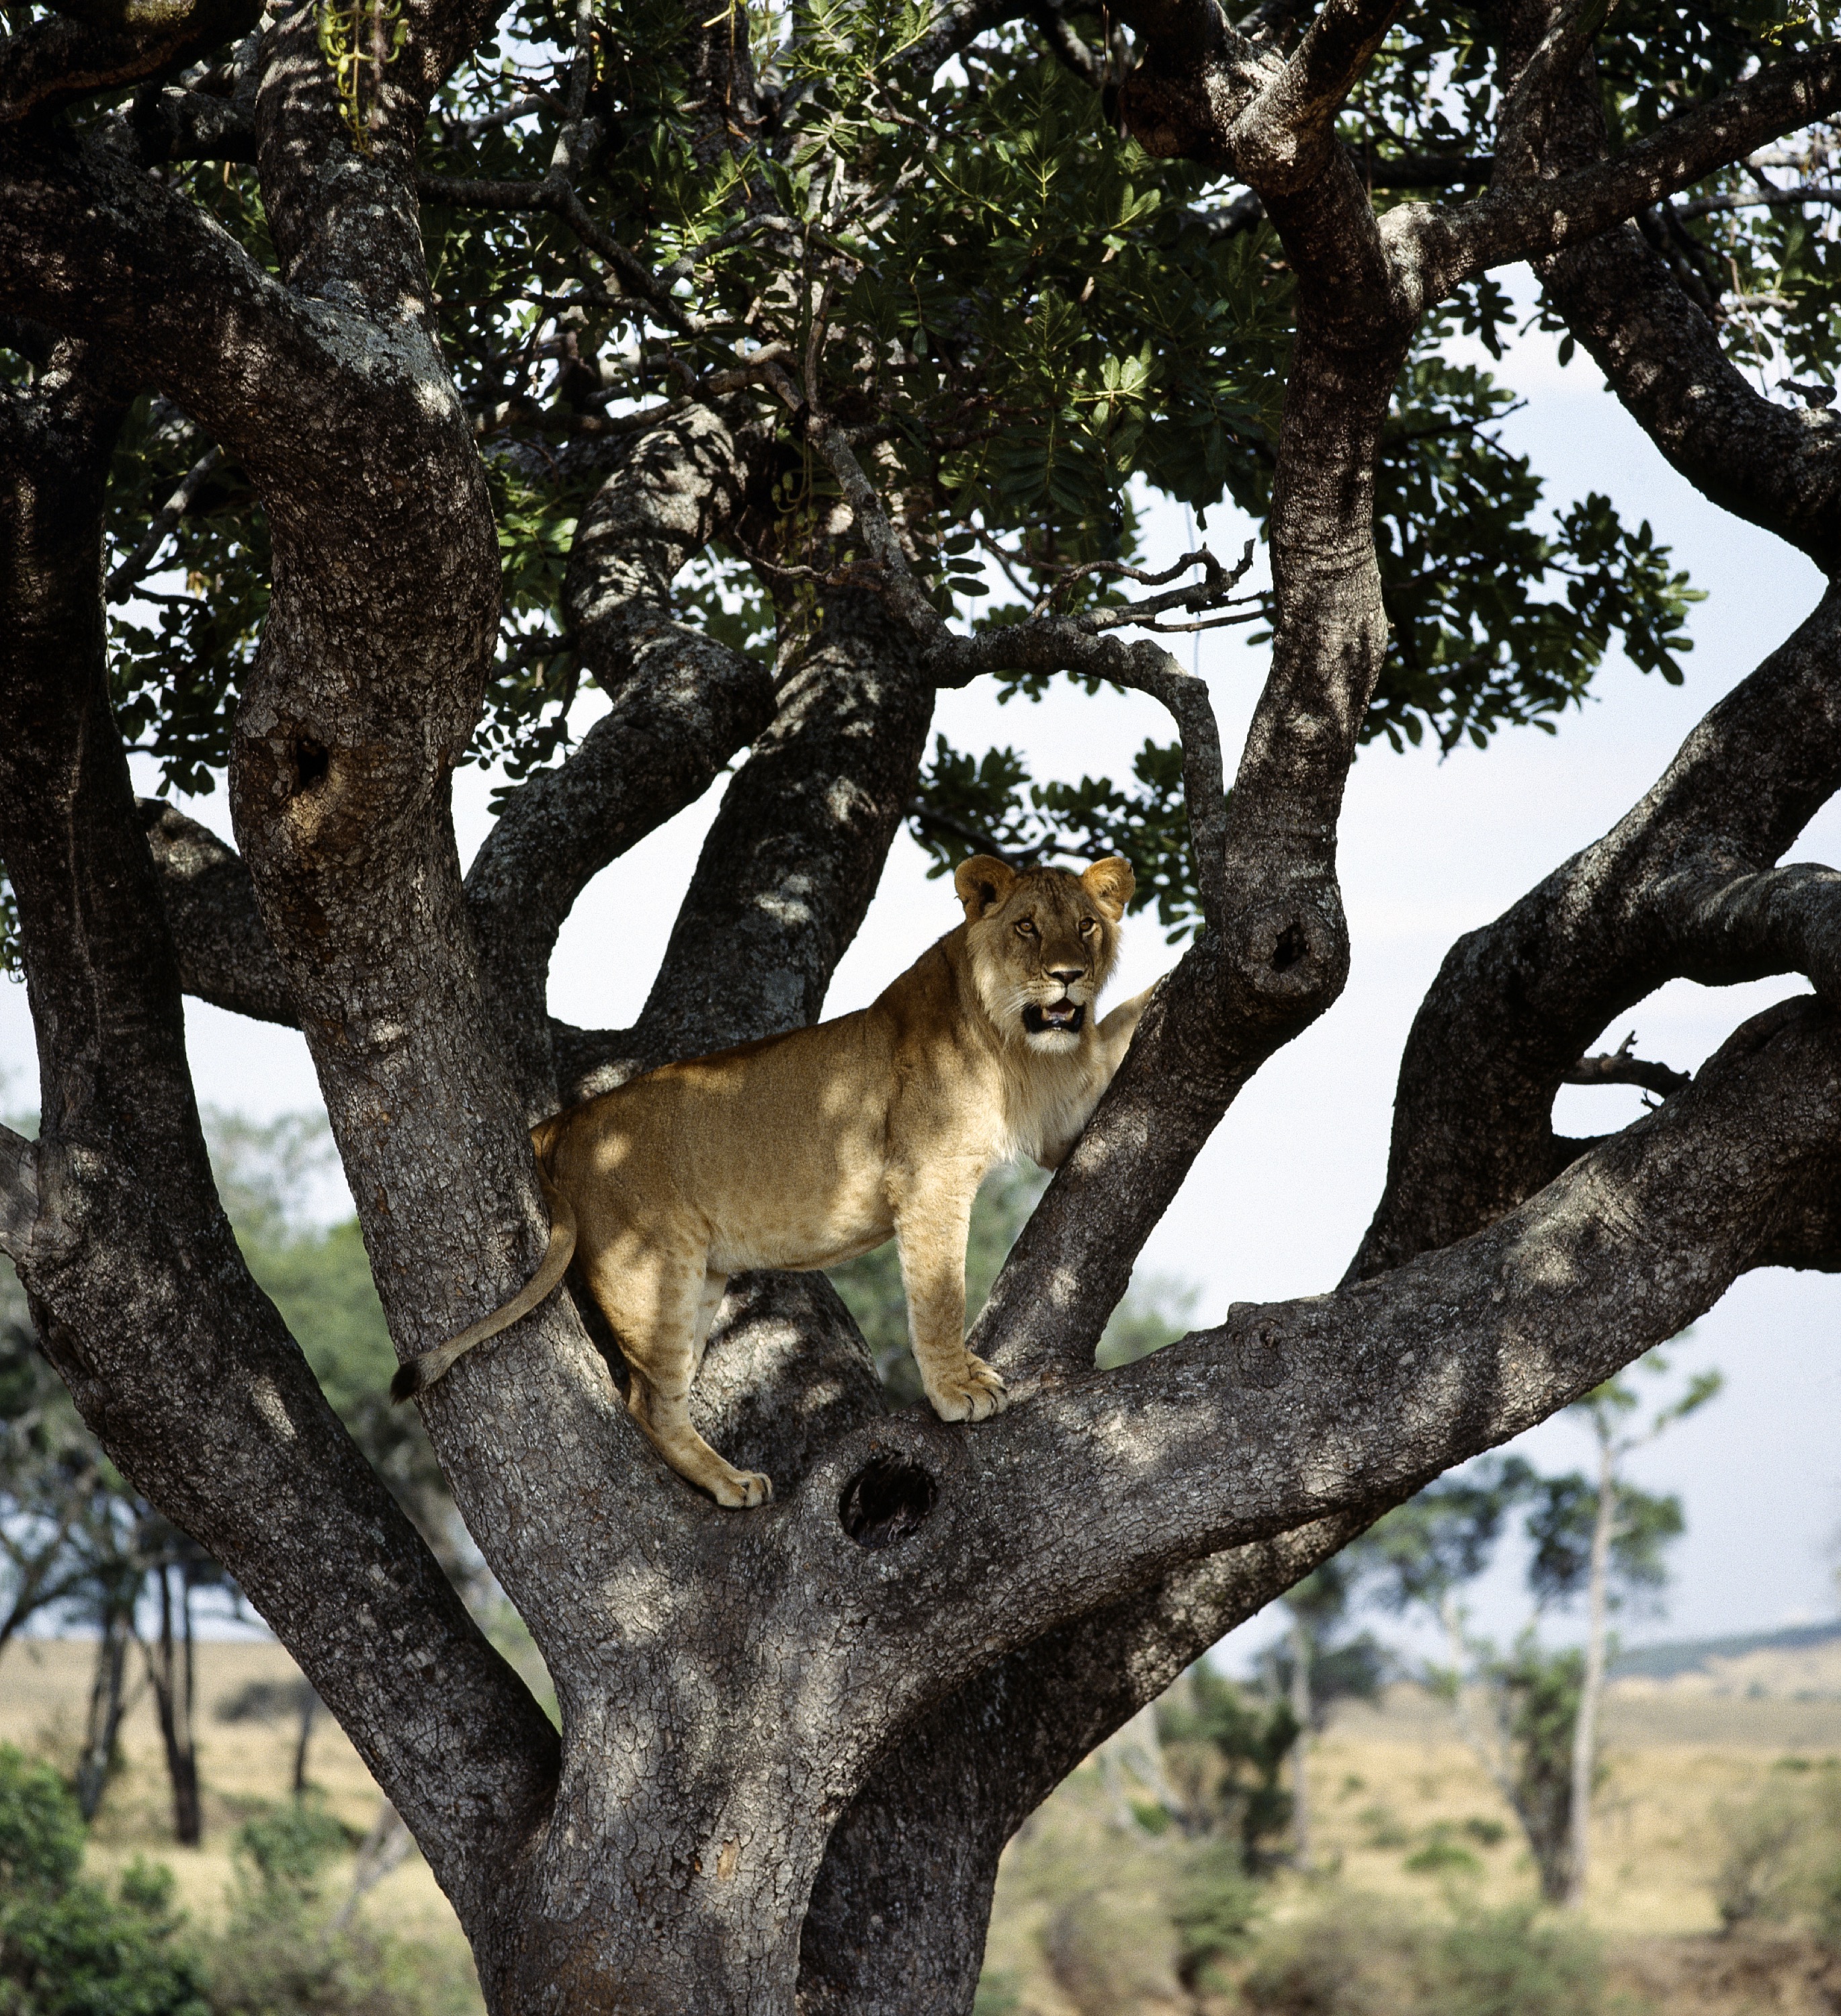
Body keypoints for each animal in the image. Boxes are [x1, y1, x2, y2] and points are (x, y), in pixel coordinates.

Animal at [395, 847, 1145, 1500]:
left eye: (1086, 926)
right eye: (1026, 926)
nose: (1068, 975)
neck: (1016, 1042)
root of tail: (567, 1122)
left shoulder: (1059, 1126)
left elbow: (1117, 1032)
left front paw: (1162, 989)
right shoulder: (930, 1178)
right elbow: (939, 1296)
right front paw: (958, 1389)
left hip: (697, 1280)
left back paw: (728, 1479)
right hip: (652, 1272)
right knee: (647, 1401)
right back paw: (727, 1482)